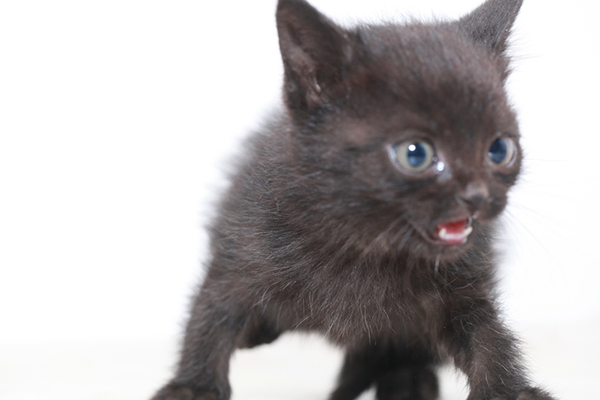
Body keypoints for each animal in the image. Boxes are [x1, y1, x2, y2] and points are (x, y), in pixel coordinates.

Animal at [152, 0, 556, 400]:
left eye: (499, 149)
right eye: (415, 154)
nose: (478, 196)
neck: (368, 248)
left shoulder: (463, 282)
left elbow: (488, 338)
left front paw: (507, 391)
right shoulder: (242, 246)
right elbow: (212, 315)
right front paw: (193, 387)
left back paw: (405, 379)